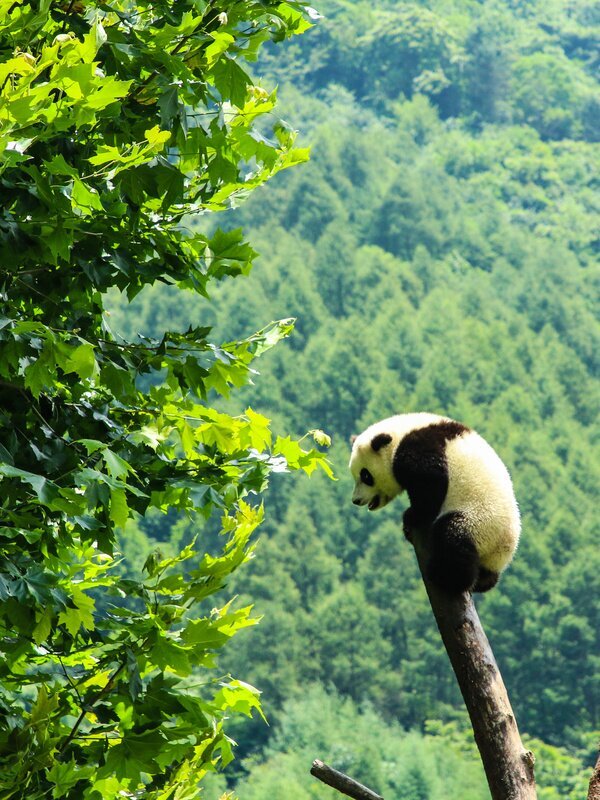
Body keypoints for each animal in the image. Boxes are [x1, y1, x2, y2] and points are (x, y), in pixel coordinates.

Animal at [349, 413, 520, 593]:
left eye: (366, 476)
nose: (356, 500)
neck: (399, 436)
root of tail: (504, 548)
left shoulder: (418, 450)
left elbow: (432, 484)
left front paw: (412, 516)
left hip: (479, 520)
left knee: (452, 536)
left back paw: (445, 577)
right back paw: (482, 581)